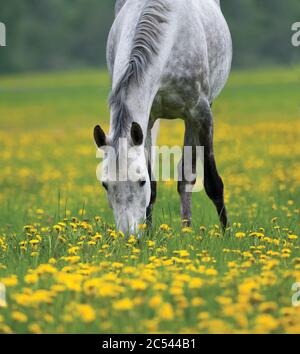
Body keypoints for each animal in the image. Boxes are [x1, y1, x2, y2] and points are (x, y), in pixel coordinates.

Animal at [94, 0, 232, 236]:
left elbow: (213, 183)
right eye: (105, 184)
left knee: (187, 177)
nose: (128, 235)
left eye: (140, 182)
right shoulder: (147, 120)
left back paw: (188, 230)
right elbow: (154, 186)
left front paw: (227, 233)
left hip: (194, 119)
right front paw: (149, 235)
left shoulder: (201, 112)